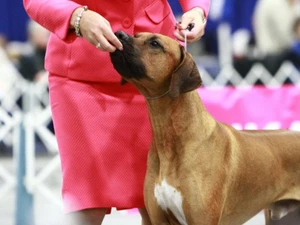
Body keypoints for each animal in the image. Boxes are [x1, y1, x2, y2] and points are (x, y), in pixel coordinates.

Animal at [109, 30, 300, 224]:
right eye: (136, 35)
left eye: (155, 43)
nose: (119, 34)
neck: (172, 139)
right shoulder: (158, 219)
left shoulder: (202, 218)